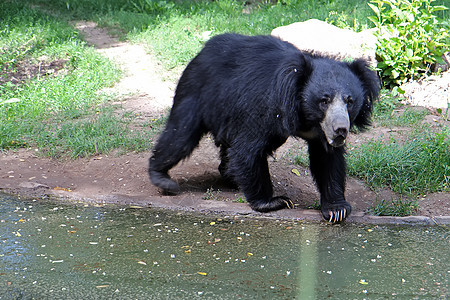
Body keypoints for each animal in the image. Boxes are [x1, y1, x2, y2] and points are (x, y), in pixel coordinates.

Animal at [149, 34, 380, 224]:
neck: (307, 118)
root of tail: (202, 51)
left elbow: (327, 159)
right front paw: (274, 201)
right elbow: (248, 149)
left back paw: (229, 175)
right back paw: (162, 177)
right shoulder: (266, 106)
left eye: (349, 101)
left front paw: (336, 209)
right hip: (197, 92)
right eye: (324, 100)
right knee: (180, 136)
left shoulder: (321, 131)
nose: (340, 130)